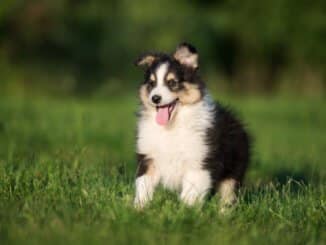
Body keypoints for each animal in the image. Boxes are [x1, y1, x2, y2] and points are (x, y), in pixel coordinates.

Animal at [134, 42, 251, 211]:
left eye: (172, 82)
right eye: (152, 83)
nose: (155, 98)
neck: (172, 126)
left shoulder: (198, 163)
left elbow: (190, 194)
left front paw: (184, 212)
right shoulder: (149, 158)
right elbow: (143, 184)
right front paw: (138, 209)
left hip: (233, 171)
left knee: (228, 196)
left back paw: (223, 213)